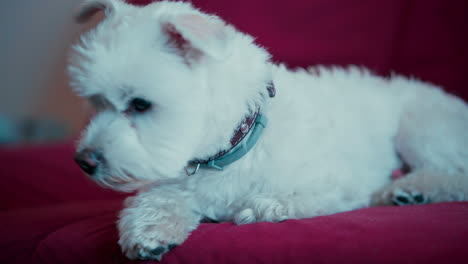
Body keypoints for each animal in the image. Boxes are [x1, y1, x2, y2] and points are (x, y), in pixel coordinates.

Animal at [68, 0, 468, 260]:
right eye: (96, 102)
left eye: (140, 104)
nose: (84, 162)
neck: (233, 148)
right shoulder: (178, 181)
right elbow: (158, 199)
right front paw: (149, 230)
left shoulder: (340, 185)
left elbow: (281, 201)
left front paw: (264, 206)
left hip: (418, 129)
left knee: (454, 174)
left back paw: (410, 189)